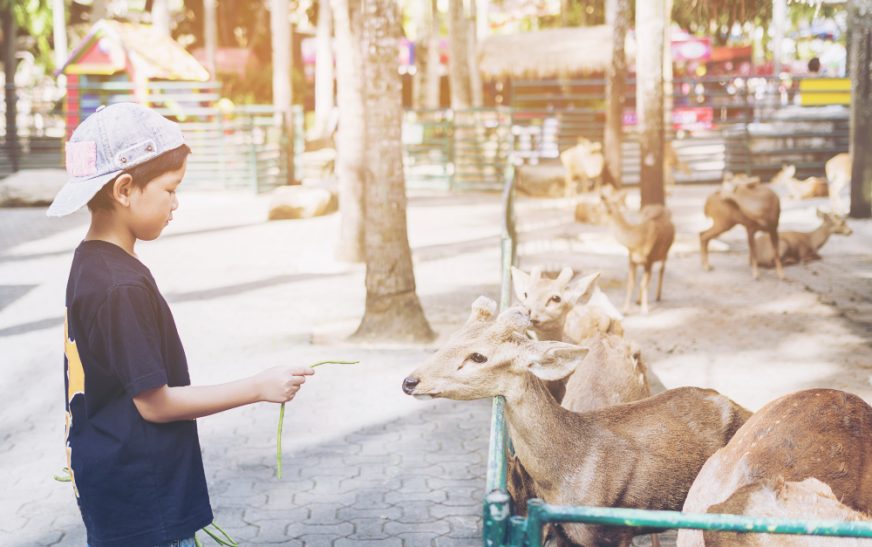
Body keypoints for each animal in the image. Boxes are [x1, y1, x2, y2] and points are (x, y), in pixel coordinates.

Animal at [402, 300, 748, 547]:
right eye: (452, 339)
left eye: (478, 356)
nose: (409, 381)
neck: (566, 473)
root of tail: (742, 406)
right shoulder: (562, 533)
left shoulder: (610, 534)